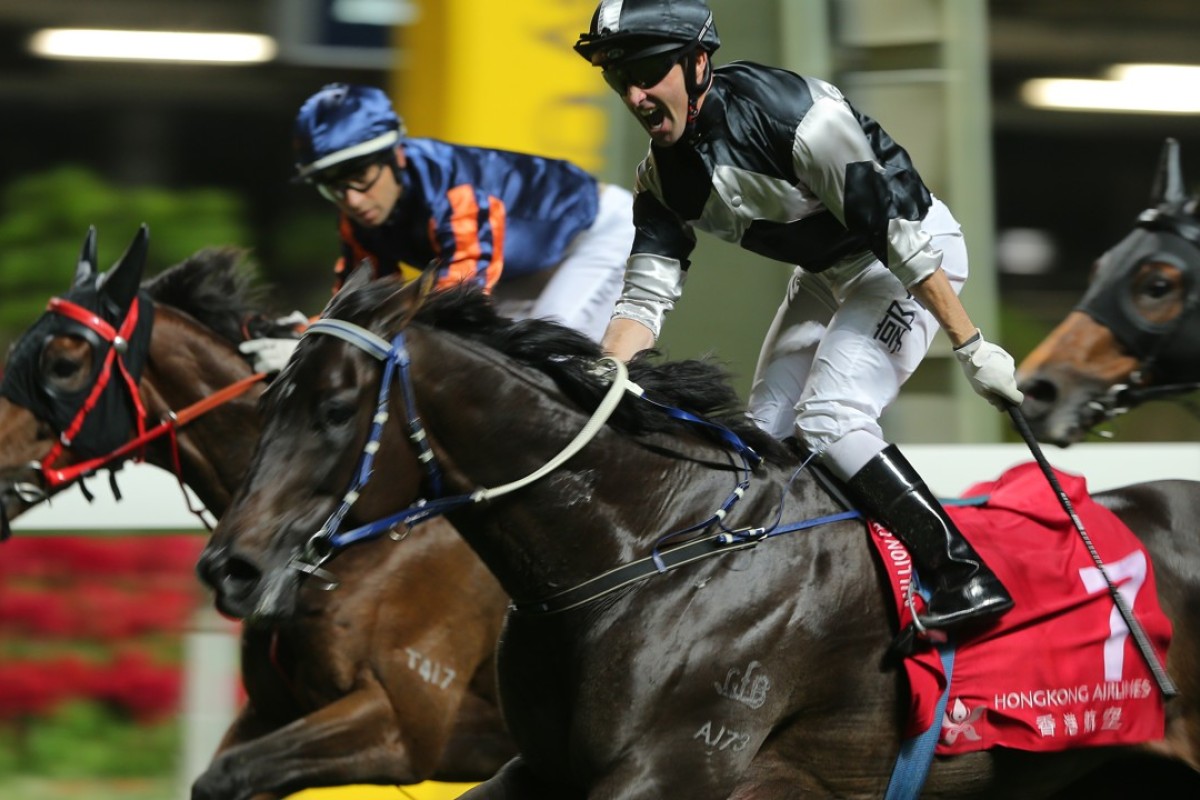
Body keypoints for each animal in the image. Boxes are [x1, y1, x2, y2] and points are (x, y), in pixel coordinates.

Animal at [199, 272, 1200, 796]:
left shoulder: (671, 768)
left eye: (334, 409)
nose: (228, 567)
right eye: (267, 399)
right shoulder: (541, 766)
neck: (646, 547)